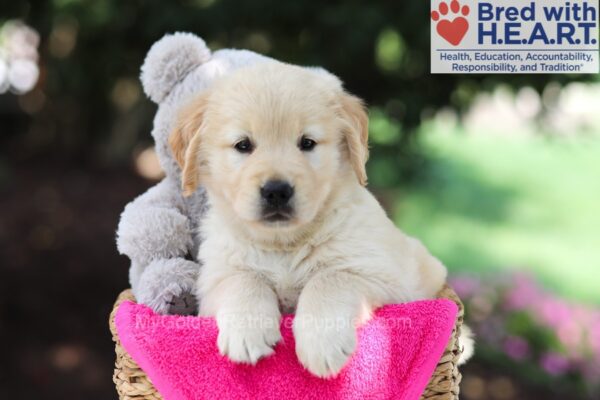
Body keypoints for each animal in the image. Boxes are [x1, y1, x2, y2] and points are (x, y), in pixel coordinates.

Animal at [169, 61, 450, 376]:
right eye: (243, 145)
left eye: (307, 143)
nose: (276, 191)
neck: (283, 244)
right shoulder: (214, 279)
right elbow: (243, 279)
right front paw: (247, 333)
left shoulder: (386, 277)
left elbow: (329, 278)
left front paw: (322, 343)